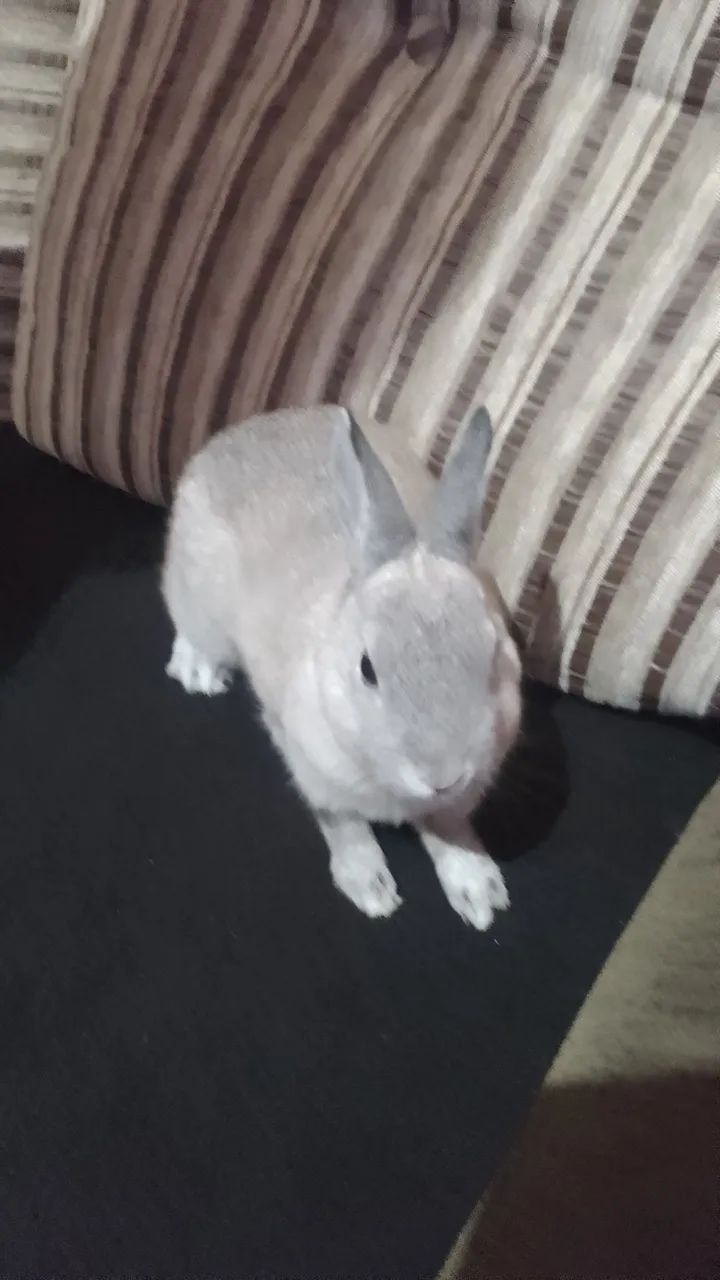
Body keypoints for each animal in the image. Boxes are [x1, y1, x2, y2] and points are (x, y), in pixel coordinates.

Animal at [162, 404, 522, 929]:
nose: (443, 775)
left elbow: (448, 827)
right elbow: (343, 824)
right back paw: (198, 671)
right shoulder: (309, 765)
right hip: (199, 601)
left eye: (494, 651)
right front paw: (370, 890)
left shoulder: (451, 805)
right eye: (367, 668)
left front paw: (479, 891)